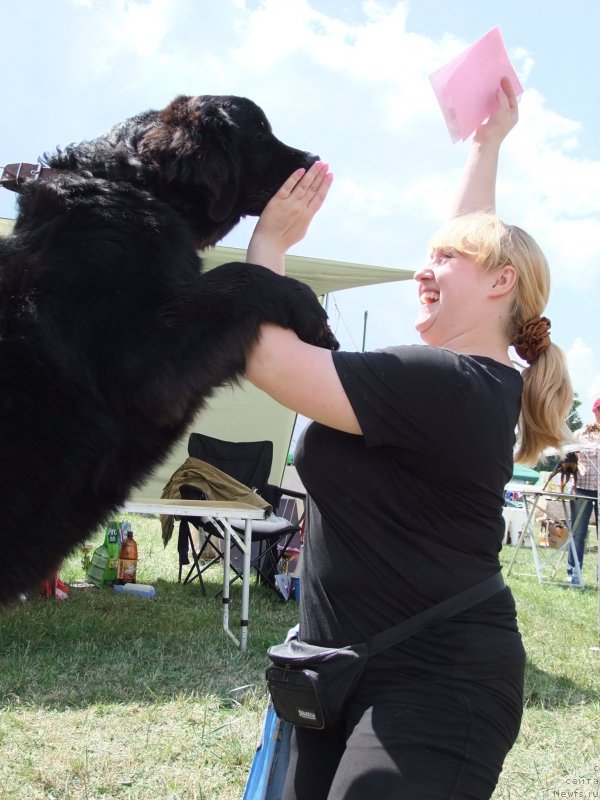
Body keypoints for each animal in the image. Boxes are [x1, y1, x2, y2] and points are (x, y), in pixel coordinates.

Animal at [0, 95, 338, 600]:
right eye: (259, 130)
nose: (314, 158)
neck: (134, 186)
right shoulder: (142, 364)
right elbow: (238, 277)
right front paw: (312, 316)